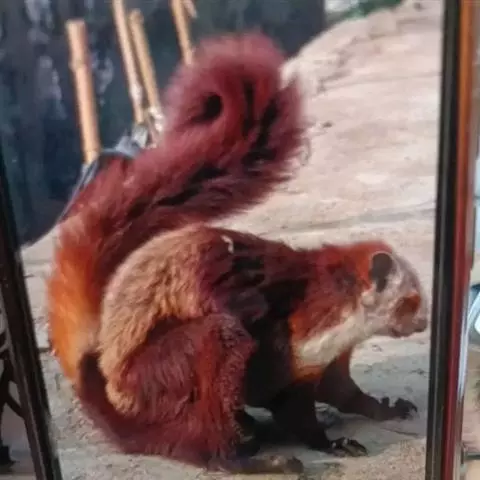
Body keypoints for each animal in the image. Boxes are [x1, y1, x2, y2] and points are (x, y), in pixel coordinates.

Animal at [47, 32, 429, 475]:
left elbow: (342, 392)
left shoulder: (328, 357)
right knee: (220, 342)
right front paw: (328, 442)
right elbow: (290, 403)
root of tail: (115, 399)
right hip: (157, 377)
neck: (344, 303)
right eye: (410, 301)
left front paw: (382, 409)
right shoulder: (301, 342)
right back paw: (240, 456)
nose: (424, 323)